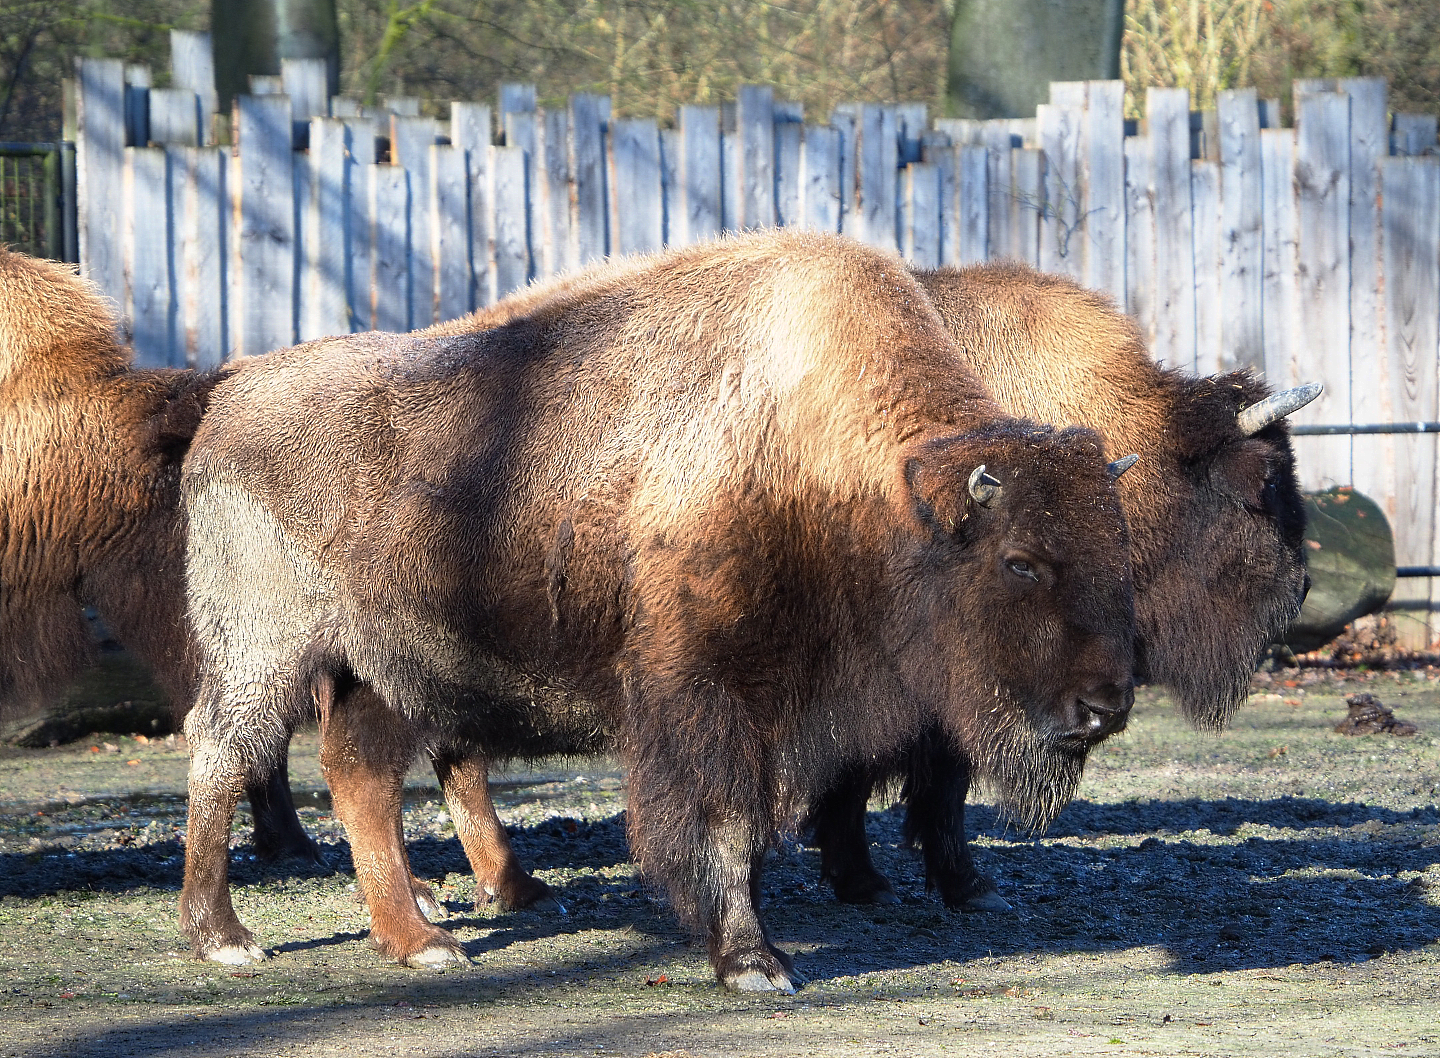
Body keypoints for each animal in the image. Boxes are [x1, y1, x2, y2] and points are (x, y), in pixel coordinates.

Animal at [179, 230, 1139, 991]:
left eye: (1121, 555)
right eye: (1020, 561)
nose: (1104, 706)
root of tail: (225, 403)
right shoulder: (707, 697)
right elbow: (724, 826)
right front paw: (755, 964)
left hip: (381, 671)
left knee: (361, 777)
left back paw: (420, 942)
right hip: (265, 653)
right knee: (221, 753)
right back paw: (224, 938)